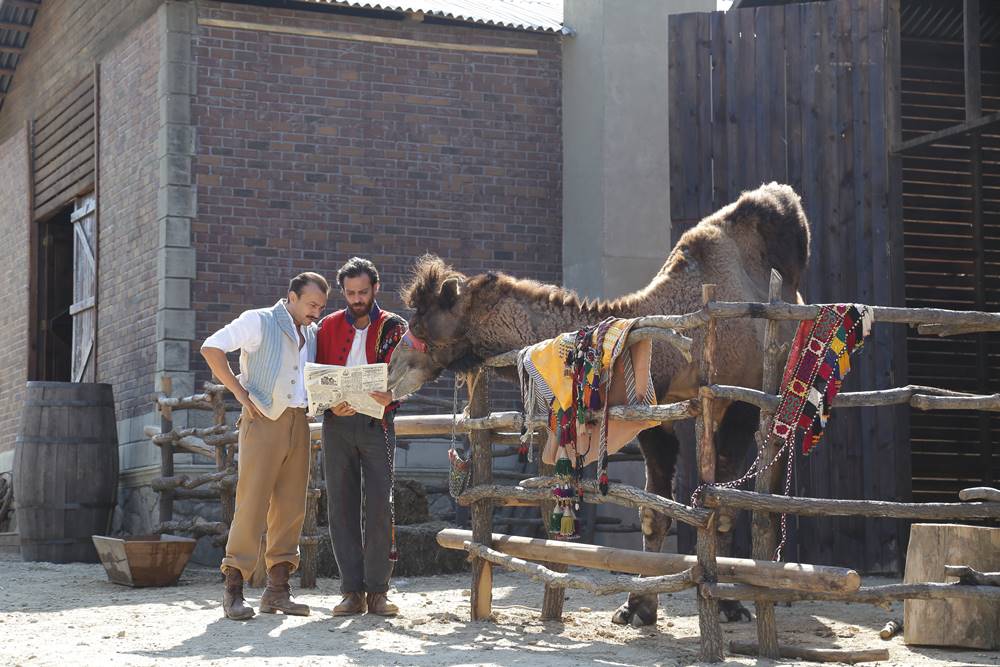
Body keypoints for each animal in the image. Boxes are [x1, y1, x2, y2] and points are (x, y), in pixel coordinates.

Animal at [386, 181, 808, 628]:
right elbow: (654, 511)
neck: (679, 340)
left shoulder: (741, 398)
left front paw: (728, 604)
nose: (390, 371)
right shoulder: (655, 411)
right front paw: (637, 607)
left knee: (770, 484)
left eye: (421, 328)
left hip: (774, 396)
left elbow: (723, 505)